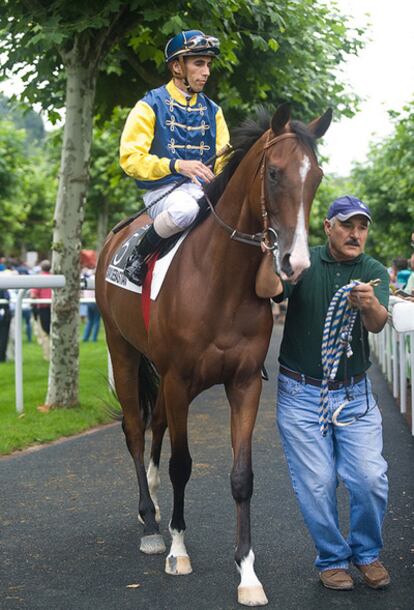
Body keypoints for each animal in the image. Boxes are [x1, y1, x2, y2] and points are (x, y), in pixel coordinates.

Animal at [95, 103, 332, 604]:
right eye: (275, 173)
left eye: (317, 176)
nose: (295, 263)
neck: (219, 280)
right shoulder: (179, 379)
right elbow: (183, 465)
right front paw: (177, 551)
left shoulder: (242, 383)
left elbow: (242, 477)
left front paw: (247, 573)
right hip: (122, 349)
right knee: (134, 428)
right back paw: (151, 524)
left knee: (157, 426)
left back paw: (154, 502)